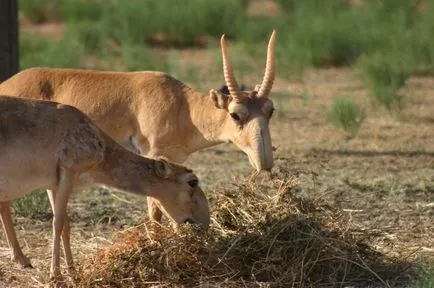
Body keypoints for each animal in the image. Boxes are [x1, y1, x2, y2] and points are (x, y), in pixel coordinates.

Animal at [0, 29, 278, 230]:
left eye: (270, 110)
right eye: (235, 114)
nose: (264, 162)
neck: (183, 106)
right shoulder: (154, 155)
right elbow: (155, 208)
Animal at [0, 95, 210, 280]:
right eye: (192, 181)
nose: (205, 224)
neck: (101, 148)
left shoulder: (54, 183)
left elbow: (65, 224)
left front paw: (73, 271)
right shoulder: (69, 170)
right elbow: (57, 224)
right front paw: (56, 276)